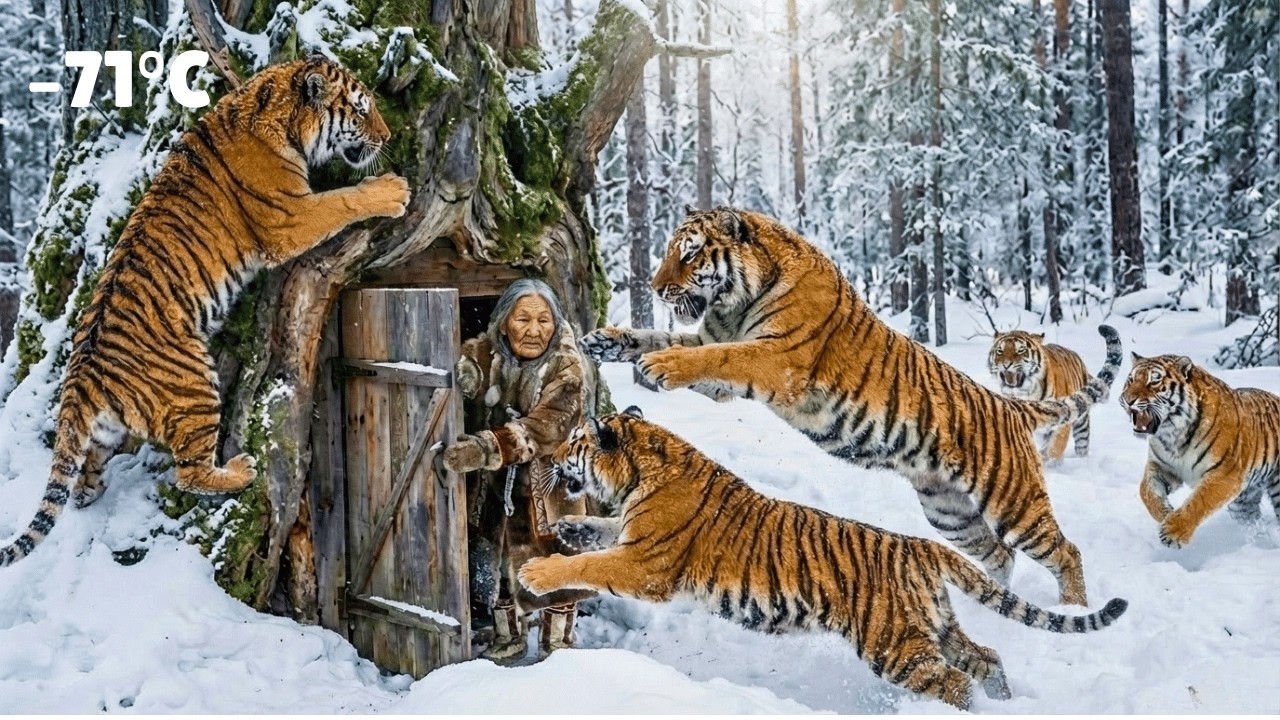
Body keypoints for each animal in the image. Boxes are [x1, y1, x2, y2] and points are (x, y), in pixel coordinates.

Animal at [0, 57, 410, 567]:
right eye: (360, 108)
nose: (389, 136)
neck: (271, 109)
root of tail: (79, 380)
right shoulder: (291, 218)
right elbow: (343, 199)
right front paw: (393, 191)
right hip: (195, 386)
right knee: (189, 472)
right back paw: (240, 469)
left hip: (107, 429)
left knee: (83, 476)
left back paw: (92, 489)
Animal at [520, 408, 1129, 711]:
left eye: (574, 443)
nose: (550, 456)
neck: (641, 473)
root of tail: (921, 546)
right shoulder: (630, 540)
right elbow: (601, 533)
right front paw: (571, 527)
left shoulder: (644, 566)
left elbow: (590, 566)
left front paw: (536, 571)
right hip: (933, 625)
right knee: (986, 657)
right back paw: (1003, 702)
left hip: (893, 645)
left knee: (954, 682)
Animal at [987, 330, 1094, 462]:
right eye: (1000, 350)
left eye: (1020, 350)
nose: (1006, 365)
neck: (1026, 392)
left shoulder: (1065, 413)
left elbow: (1056, 446)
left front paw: (1052, 462)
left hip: (1081, 423)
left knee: (1081, 444)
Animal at [1119, 353, 1280, 548]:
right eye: (1131, 380)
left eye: (1154, 381)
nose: (1127, 400)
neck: (1173, 434)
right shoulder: (1162, 467)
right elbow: (1146, 492)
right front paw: (1165, 514)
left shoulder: (1224, 474)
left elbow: (1199, 501)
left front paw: (1174, 532)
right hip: (1243, 501)